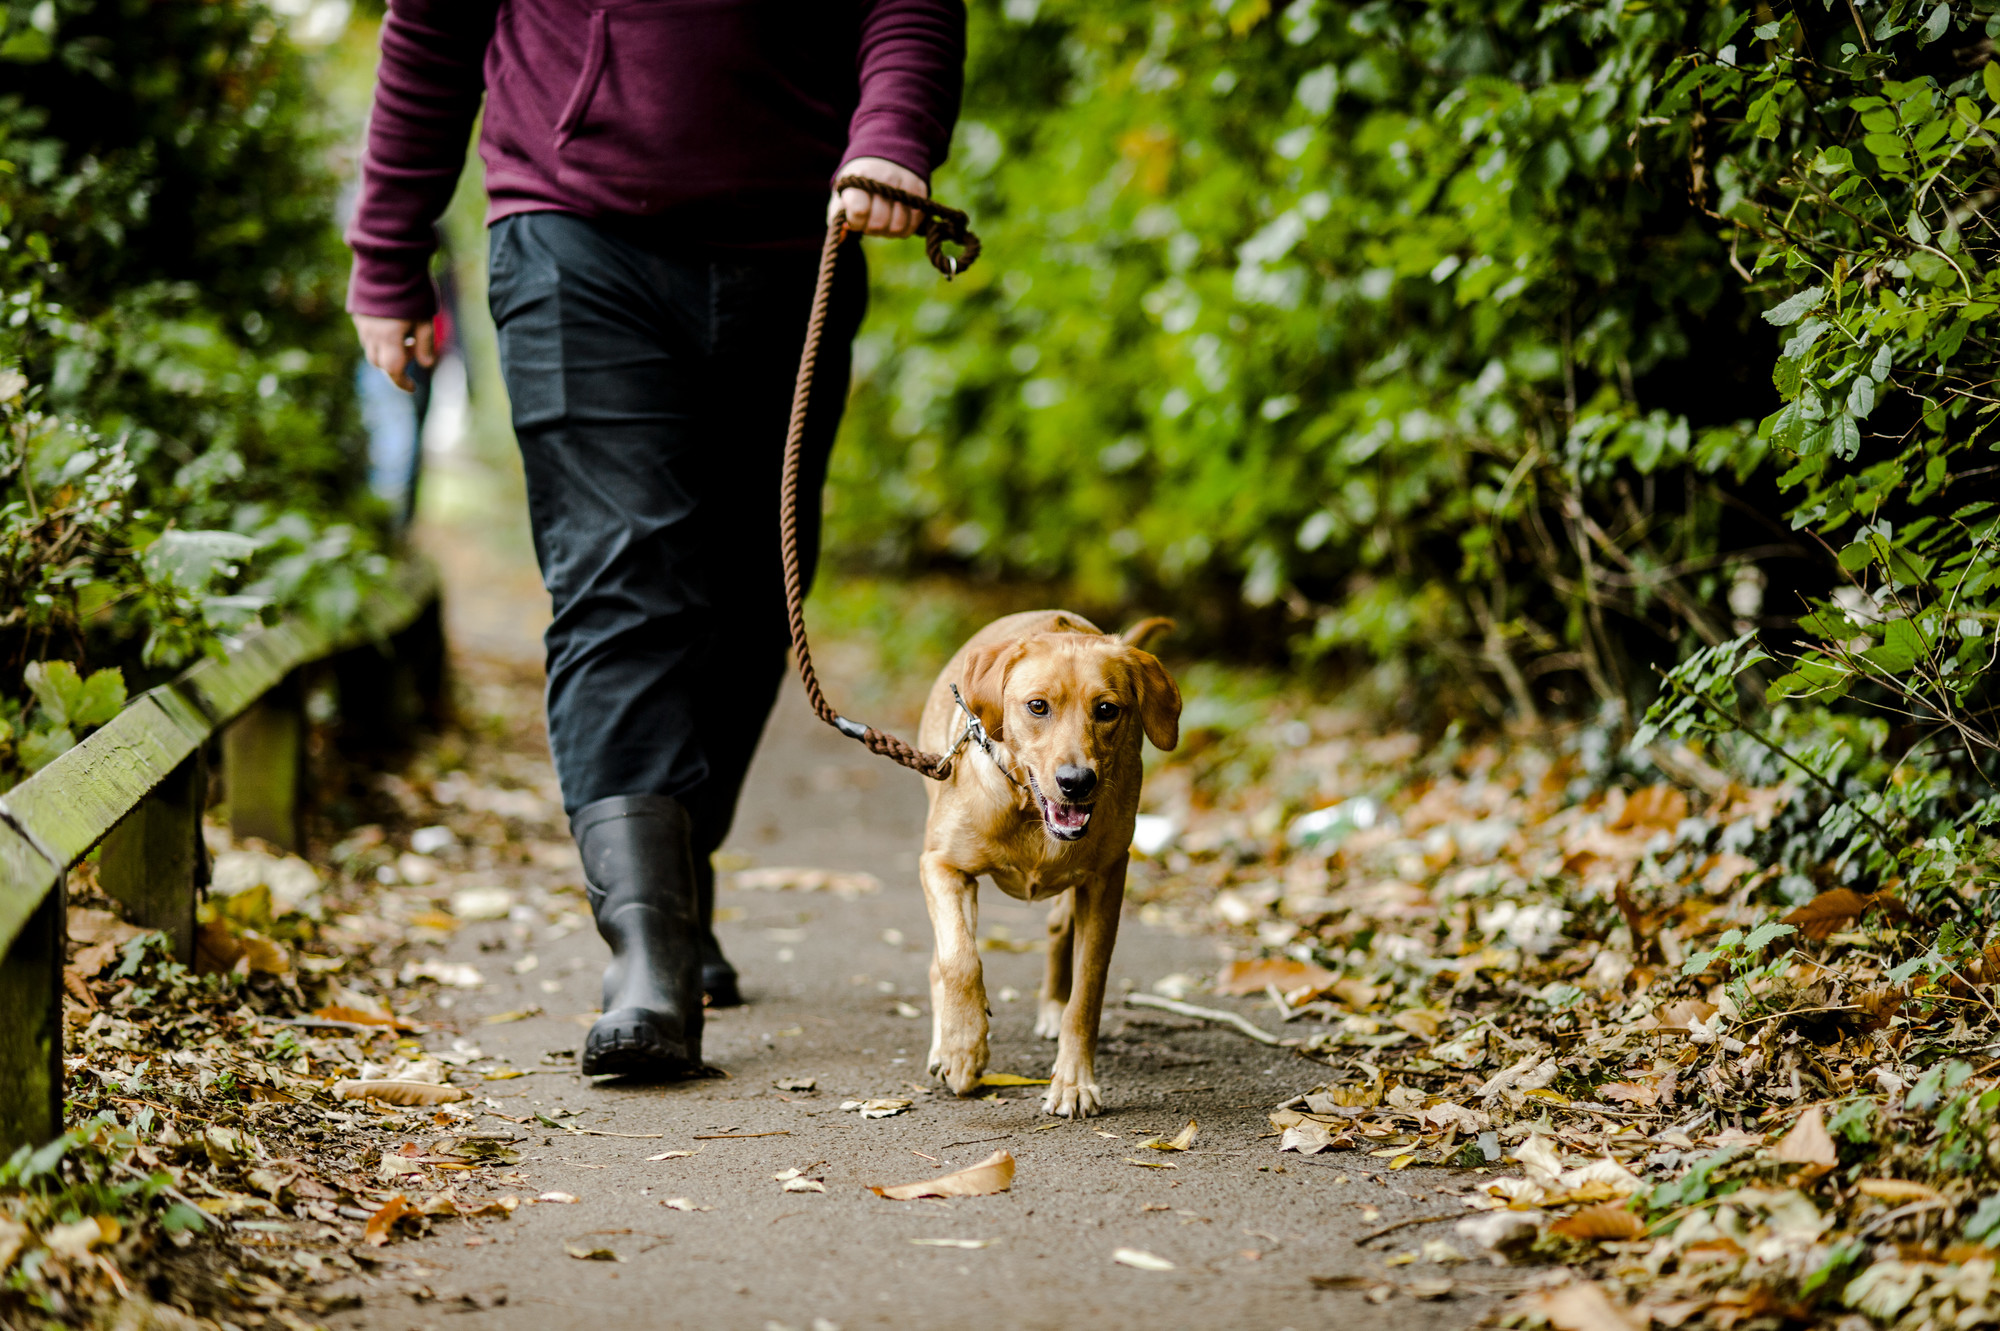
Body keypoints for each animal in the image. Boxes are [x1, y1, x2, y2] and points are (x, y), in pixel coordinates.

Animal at [916, 607, 1176, 1111]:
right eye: (1038, 707)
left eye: (1107, 709)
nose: (1076, 781)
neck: (1030, 813)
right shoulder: (942, 865)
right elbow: (960, 959)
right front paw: (963, 1047)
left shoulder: (1106, 881)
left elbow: (1088, 990)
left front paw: (1073, 1082)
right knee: (941, 958)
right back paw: (943, 1044)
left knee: (1059, 929)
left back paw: (1052, 1008)